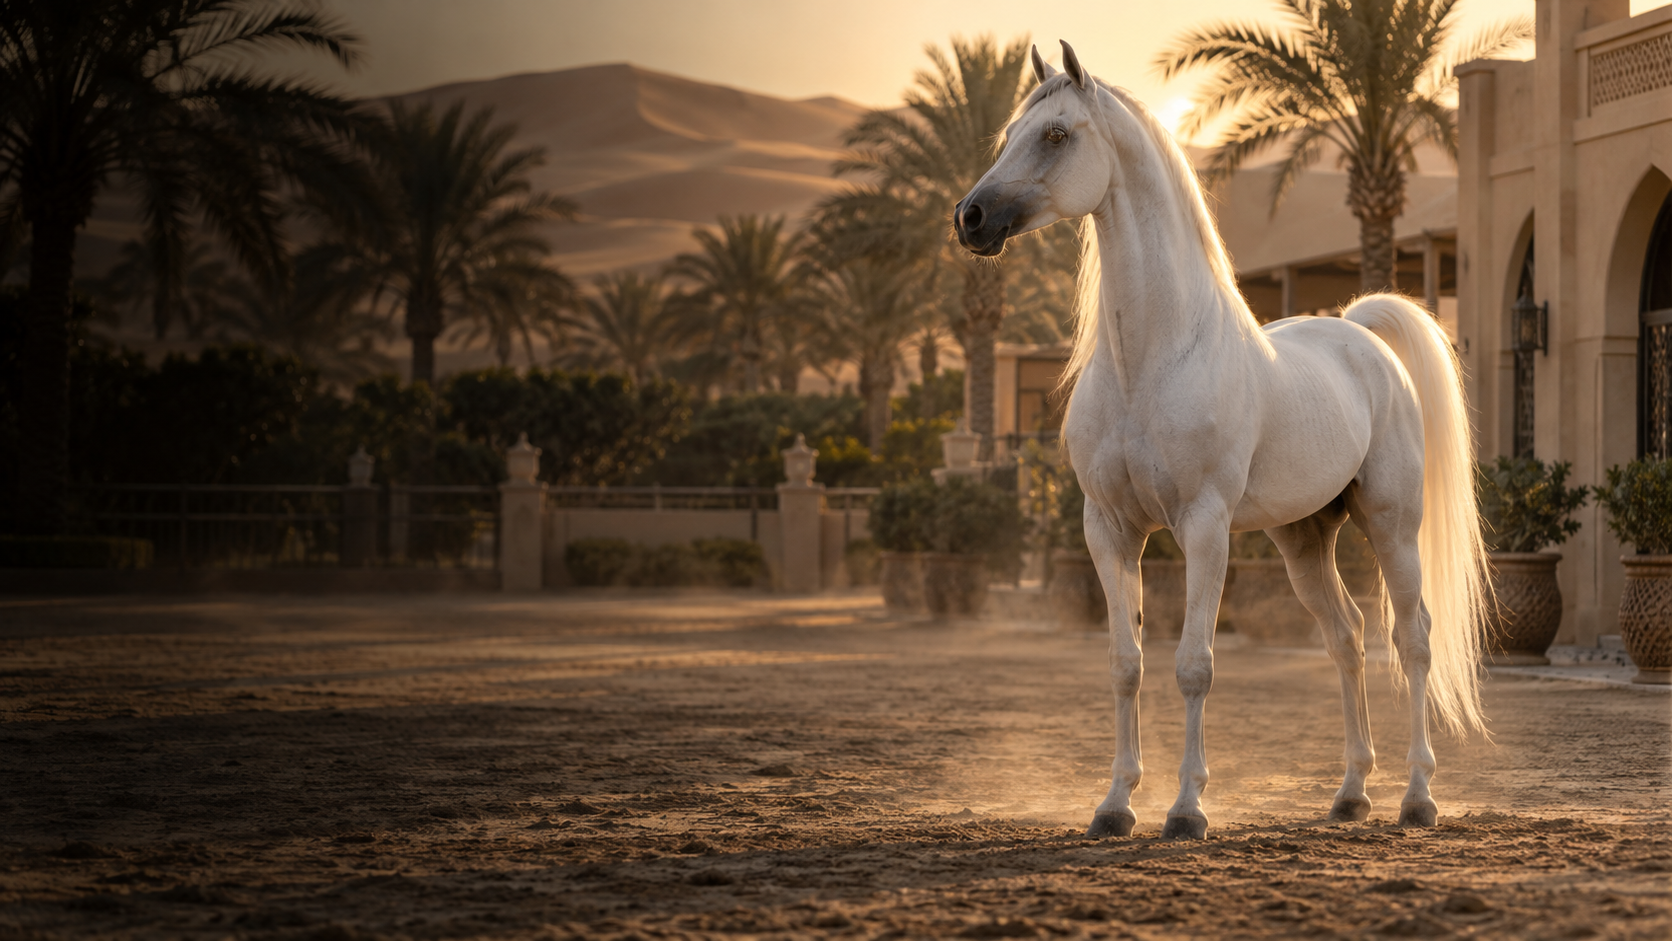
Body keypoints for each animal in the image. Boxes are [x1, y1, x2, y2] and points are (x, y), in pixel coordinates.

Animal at [953, 41, 1488, 840]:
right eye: (1009, 134)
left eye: (1055, 134)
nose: (971, 217)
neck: (1153, 359)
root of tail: (1361, 335)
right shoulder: (1107, 528)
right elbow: (1126, 662)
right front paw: (1114, 805)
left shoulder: (1203, 526)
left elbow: (1194, 664)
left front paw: (1185, 809)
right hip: (1304, 540)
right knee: (1348, 637)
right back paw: (1350, 792)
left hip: (1392, 524)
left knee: (1412, 637)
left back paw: (1417, 796)